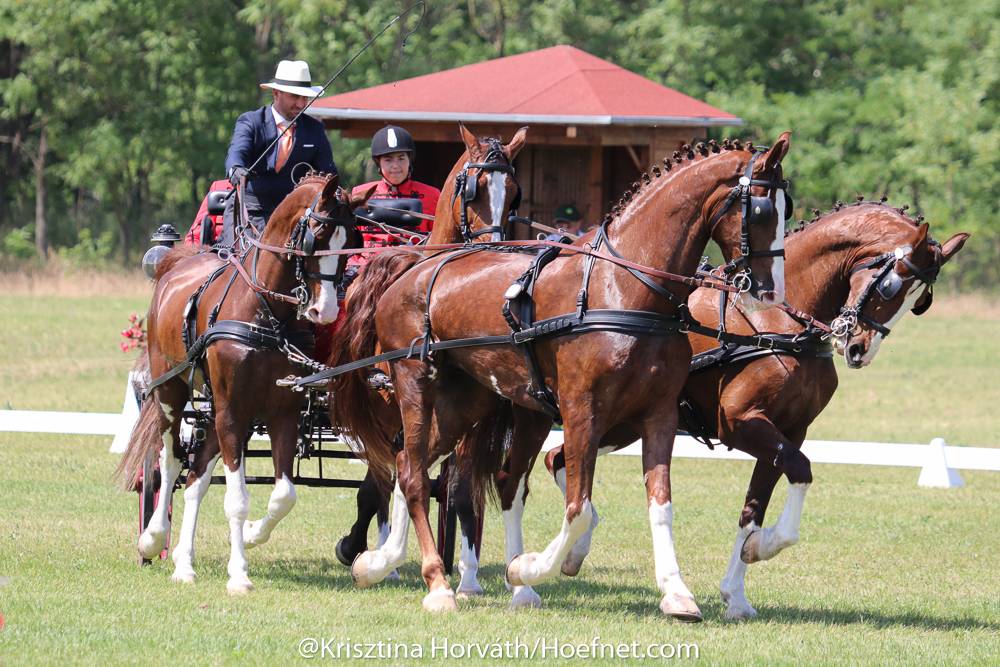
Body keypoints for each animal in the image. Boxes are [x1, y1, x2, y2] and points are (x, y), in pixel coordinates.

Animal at [115, 172, 366, 593]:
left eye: (353, 241)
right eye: (316, 235)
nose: (325, 311)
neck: (265, 312)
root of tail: (178, 262)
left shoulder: (282, 413)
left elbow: (283, 494)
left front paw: (251, 534)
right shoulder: (232, 412)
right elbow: (236, 498)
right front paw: (239, 573)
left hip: (219, 412)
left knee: (197, 475)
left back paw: (184, 563)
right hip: (172, 392)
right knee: (170, 461)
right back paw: (152, 539)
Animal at [333, 135, 793, 616]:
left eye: (789, 208)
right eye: (762, 210)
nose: (771, 292)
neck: (625, 287)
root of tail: (414, 265)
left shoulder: (659, 414)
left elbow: (660, 503)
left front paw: (676, 593)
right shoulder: (580, 412)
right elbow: (578, 506)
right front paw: (528, 568)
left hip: (469, 403)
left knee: (412, 464)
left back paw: (379, 563)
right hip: (416, 385)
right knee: (417, 476)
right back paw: (437, 584)